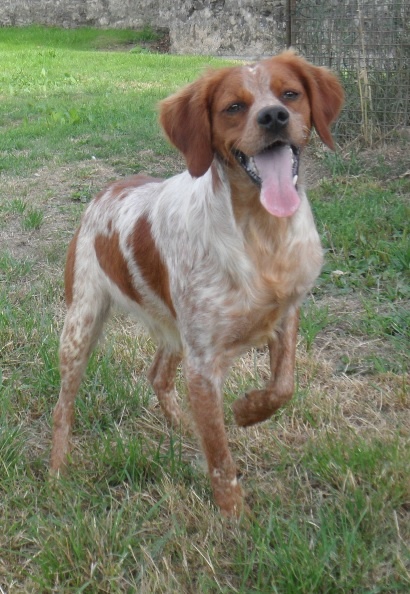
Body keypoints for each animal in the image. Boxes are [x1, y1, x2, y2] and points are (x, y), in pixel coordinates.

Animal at [50, 50, 343, 516]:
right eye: (234, 106)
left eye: (290, 94)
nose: (273, 116)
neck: (262, 234)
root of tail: (106, 190)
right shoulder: (203, 364)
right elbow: (221, 459)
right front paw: (234, 520)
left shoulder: (286, 314)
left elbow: (283, 387)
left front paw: (247, 411)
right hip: (81, 326)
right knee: (64, 407)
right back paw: (57, 472)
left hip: (174, 327)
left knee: (157, 376)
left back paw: (182, 426)